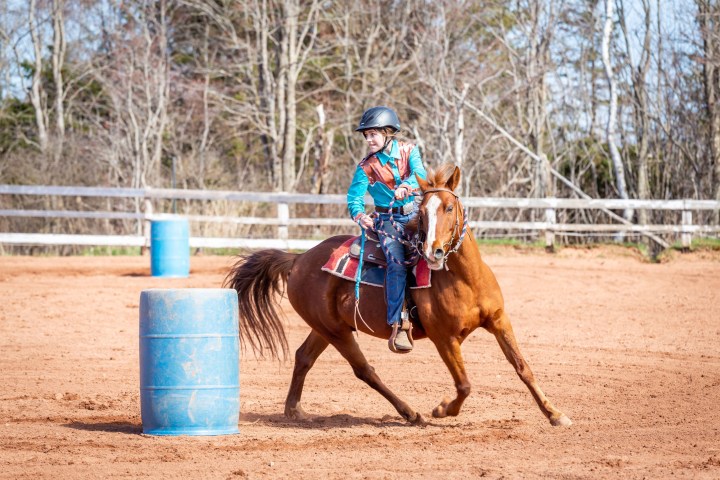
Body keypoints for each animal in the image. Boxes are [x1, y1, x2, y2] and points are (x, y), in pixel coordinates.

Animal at [224, 163, 572, 427]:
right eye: (424, 212)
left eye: (449, 207)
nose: (434, 252)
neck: (466, 279)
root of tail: (298, 260)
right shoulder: (444, 338)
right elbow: (464, 384)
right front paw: (441, 410)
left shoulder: (500, 322)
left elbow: (523, 368)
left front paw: (555, 414)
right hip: (336, 332)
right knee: (365, 370)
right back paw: (410, 413)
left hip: (324, 328)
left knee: (304, 357)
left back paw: (294, 410)